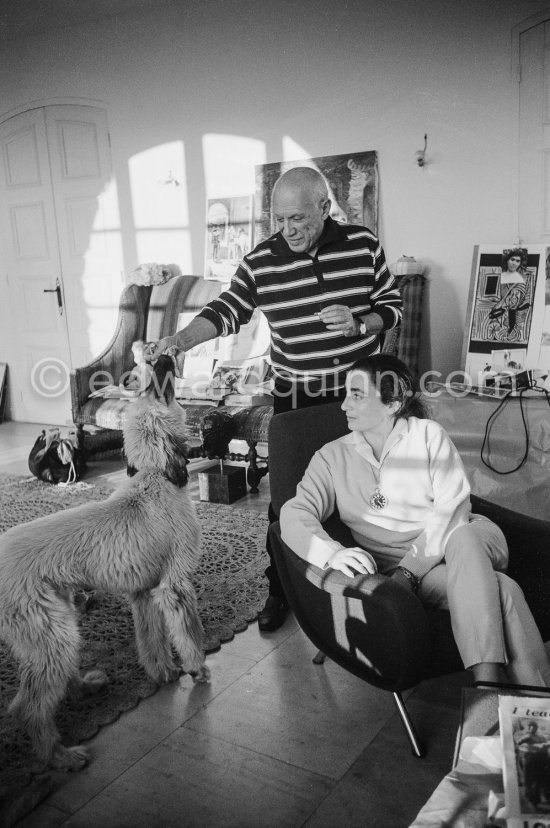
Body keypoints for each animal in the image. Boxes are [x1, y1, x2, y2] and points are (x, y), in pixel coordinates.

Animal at [0, 356, 210, 768]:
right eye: (151, 387)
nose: (161, 358)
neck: (154, 476)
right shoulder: (174, 586)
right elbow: (189, 633)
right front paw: (197, 668)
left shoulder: (144, 593)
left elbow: (152, 641)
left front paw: (163, 672)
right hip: (50, 629)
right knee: (27, 707)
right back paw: (60, 756)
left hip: (55, 622)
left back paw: (84, 687)